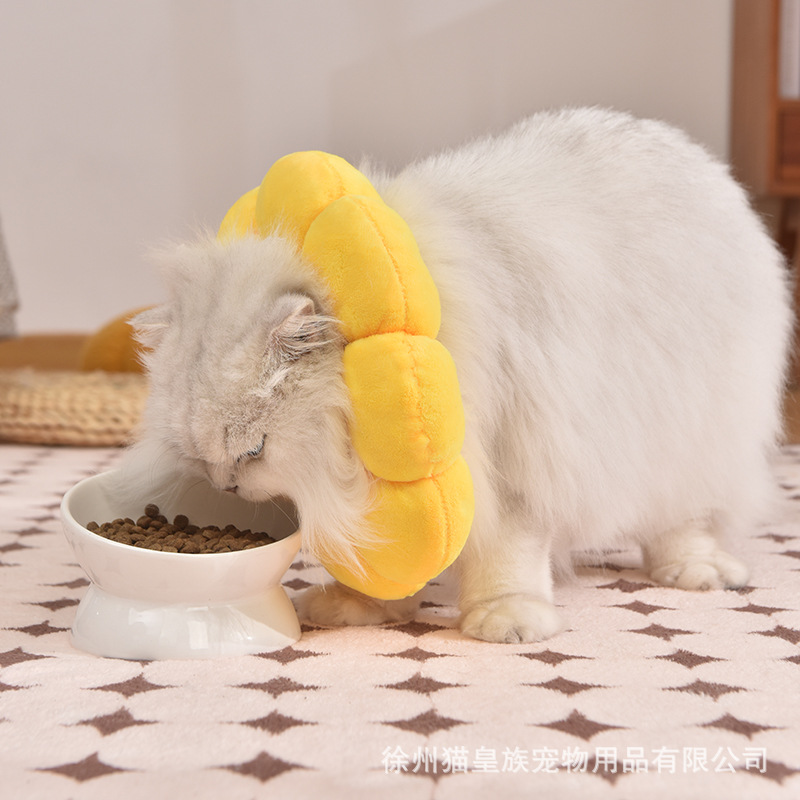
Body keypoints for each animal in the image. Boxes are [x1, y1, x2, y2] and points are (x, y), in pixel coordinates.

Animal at [124, 107, 793, 643]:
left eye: (254, 451)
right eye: (203, 462)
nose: (229, 486)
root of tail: (701, 160)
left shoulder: (513, 462)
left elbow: (507, 560)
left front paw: (508, 622)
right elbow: (377, 560)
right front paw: (356, 608)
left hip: (689, 431)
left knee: (684, 520)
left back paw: (696, 572)